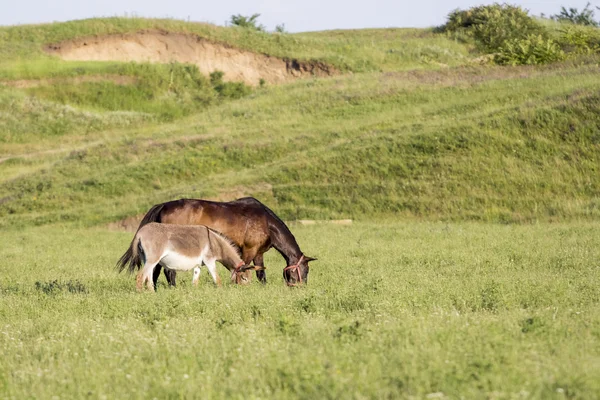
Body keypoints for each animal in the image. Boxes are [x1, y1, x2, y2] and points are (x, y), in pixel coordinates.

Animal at [119, 222, 262, 290]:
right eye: (244, 278)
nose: (244, 292)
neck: (215, 243)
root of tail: (140, 232)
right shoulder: (210, 261)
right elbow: (217, 280)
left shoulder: (198, 265)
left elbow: (195, 282)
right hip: (152, 259)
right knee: (140, 277)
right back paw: (141, 295)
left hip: (147, 260)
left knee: (148, 279)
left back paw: (151, 294)